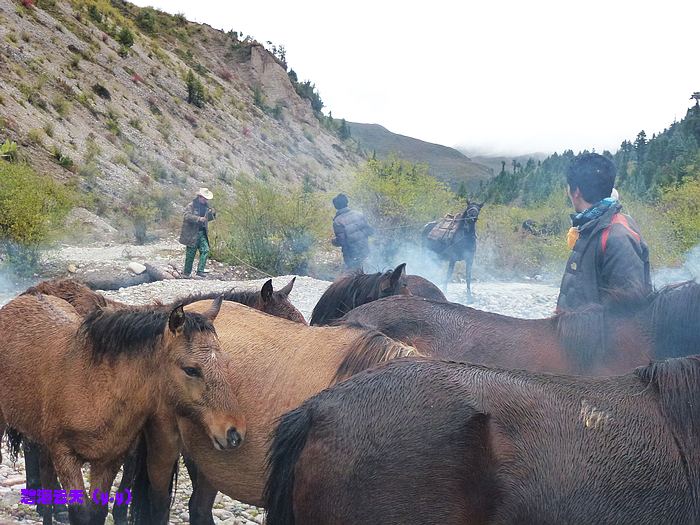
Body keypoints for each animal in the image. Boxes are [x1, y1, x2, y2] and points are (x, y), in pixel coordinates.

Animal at [0, 294, 246, 524]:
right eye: (191, 369)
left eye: (225, 362)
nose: (234, 432)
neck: (95, 387)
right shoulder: (65, 455)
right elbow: (80, 513)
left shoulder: (108, 461)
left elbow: (97, 513)